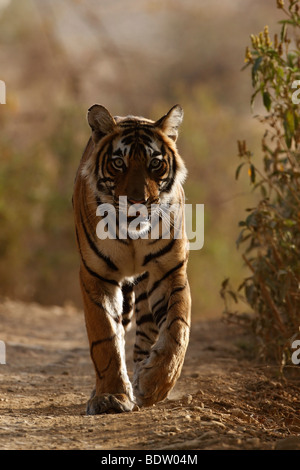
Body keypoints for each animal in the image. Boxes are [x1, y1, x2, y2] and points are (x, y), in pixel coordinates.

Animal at [72, 103, 191, 414]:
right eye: (118, 163)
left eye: (155, 164)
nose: (138, 201)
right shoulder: (97, 275)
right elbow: (105, 337)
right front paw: (110, 397)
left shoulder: (168, 271)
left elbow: (178, 330)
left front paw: (155, 382)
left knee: (146, 335)